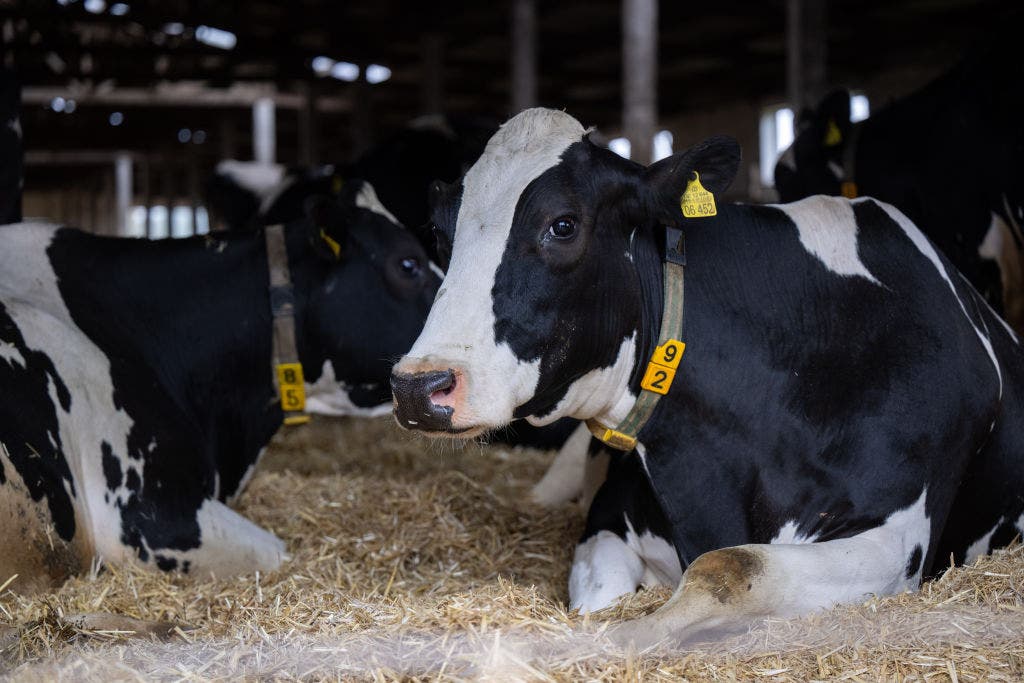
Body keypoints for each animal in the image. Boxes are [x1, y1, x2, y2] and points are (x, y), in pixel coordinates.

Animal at [390, 107, 1024, 645]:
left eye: (562, 225)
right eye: (441, 235)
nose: (419, 386)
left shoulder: (896, 540)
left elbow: (728, 566)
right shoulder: (606, 521)